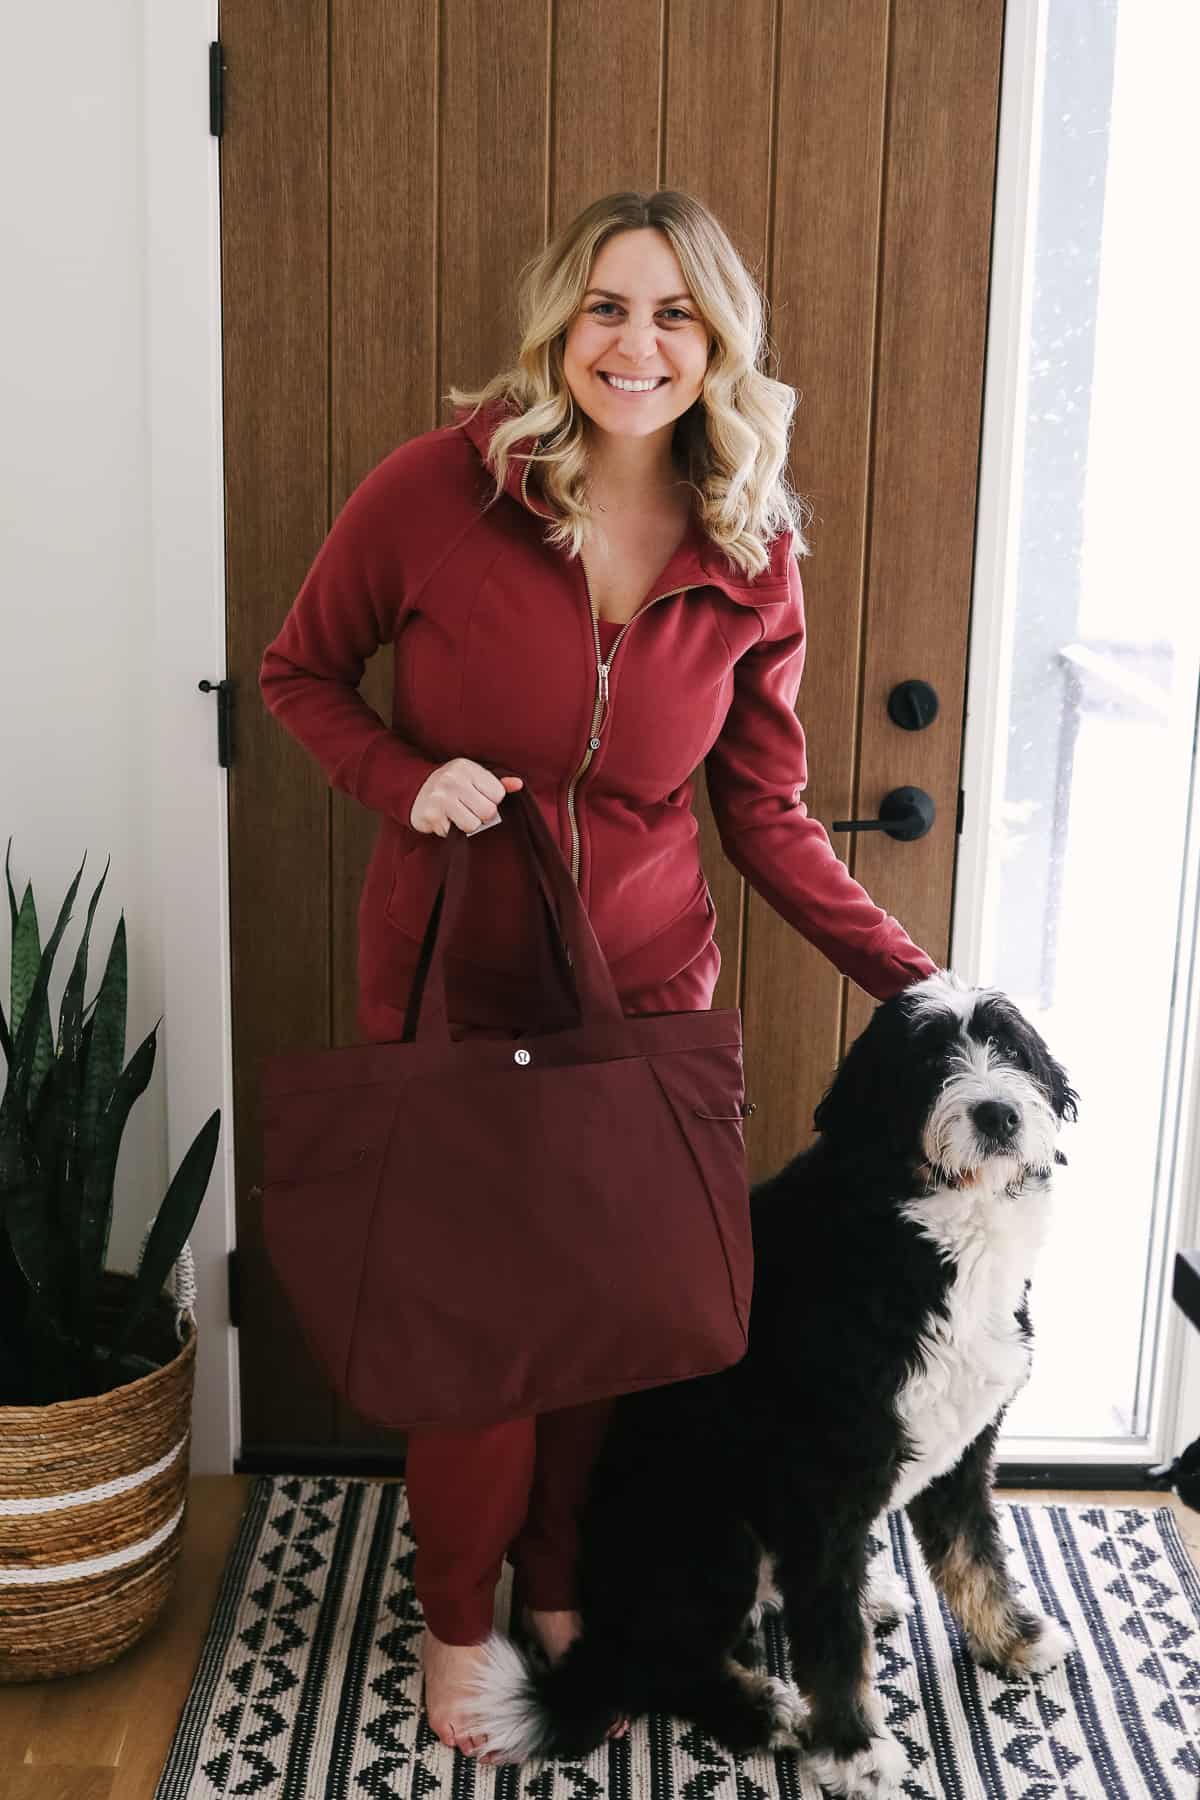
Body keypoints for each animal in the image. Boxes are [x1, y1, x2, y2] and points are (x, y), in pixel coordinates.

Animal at [460, 979, 1079, 1792]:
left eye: (1008, 1048)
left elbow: (976, 1556)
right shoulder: (822, 1482)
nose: (997, 1113)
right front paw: (855, 1752)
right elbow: (835, 1643)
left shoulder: (965, 1452)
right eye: (928, 1063)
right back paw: (765, 1708)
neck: (924, 1228)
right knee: (667, 1664)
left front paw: (1012, 1640)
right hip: (712, 1531)